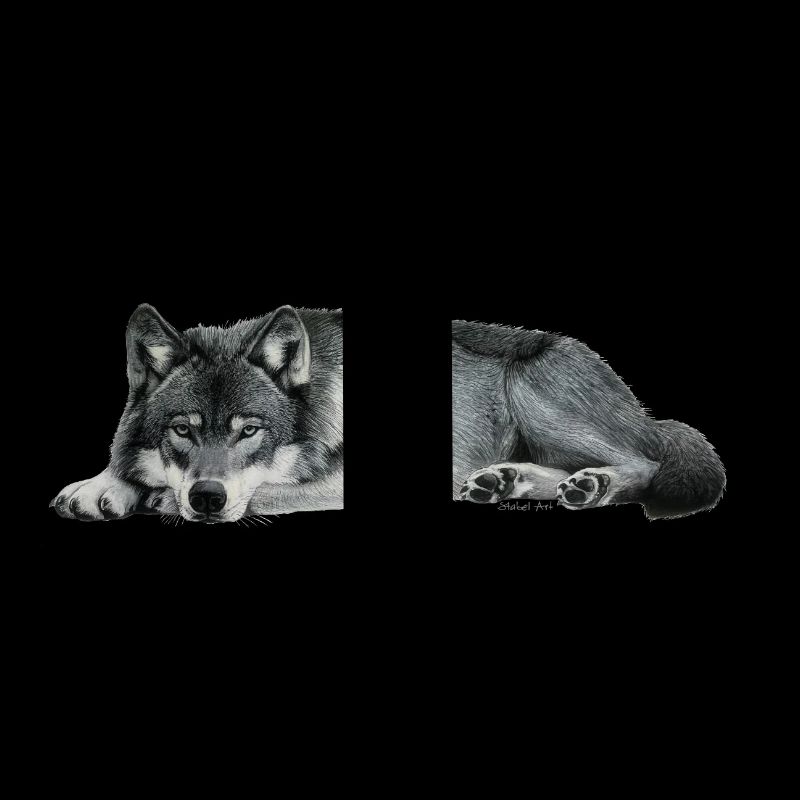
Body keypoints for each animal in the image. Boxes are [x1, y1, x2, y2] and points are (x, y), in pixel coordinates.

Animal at [51, 304, 343, 523]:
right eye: (182, 429)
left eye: (248, 430)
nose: (207, 497)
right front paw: (101, 484)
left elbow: (271, 492)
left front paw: (161, 498)